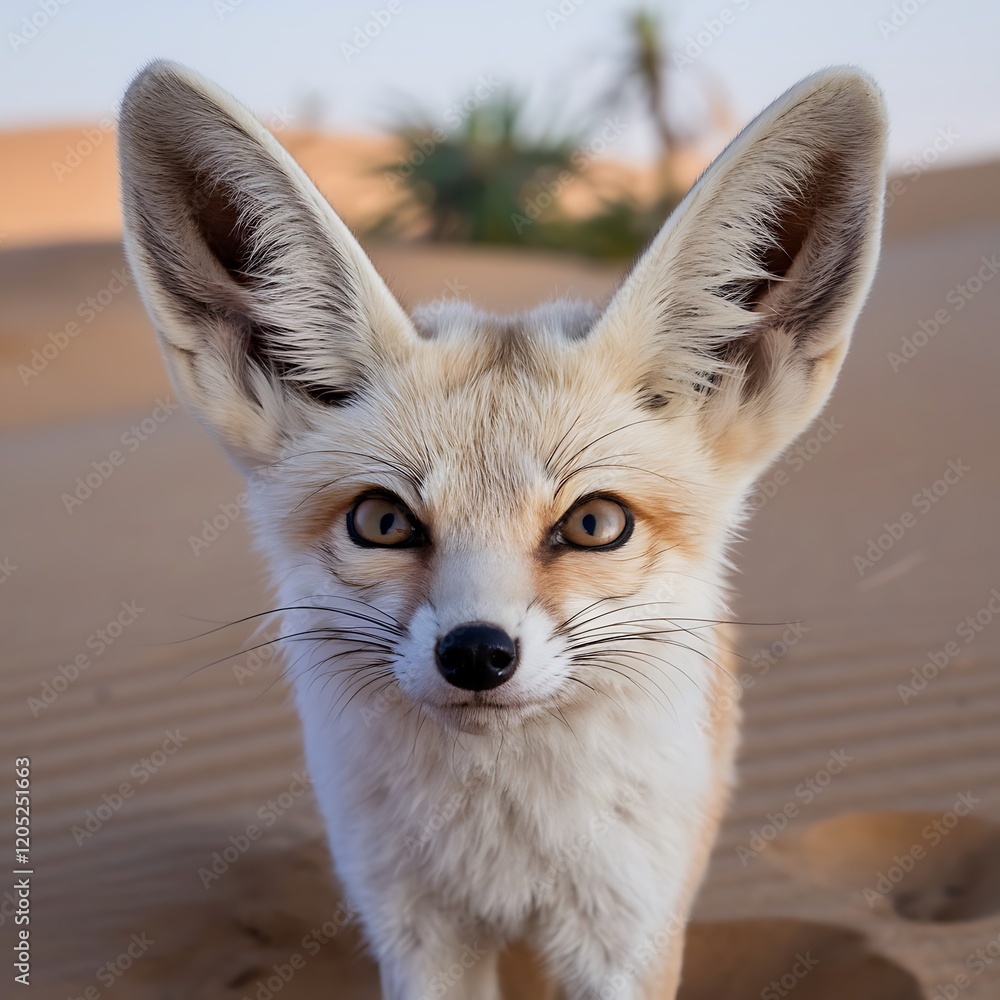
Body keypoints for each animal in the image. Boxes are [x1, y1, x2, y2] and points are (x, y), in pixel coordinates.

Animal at [118, 62, 887, 999]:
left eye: (594, 523)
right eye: (383, 521)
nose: (478, 654)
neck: (503, 850)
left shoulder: (624, 936)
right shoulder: (418, 933)